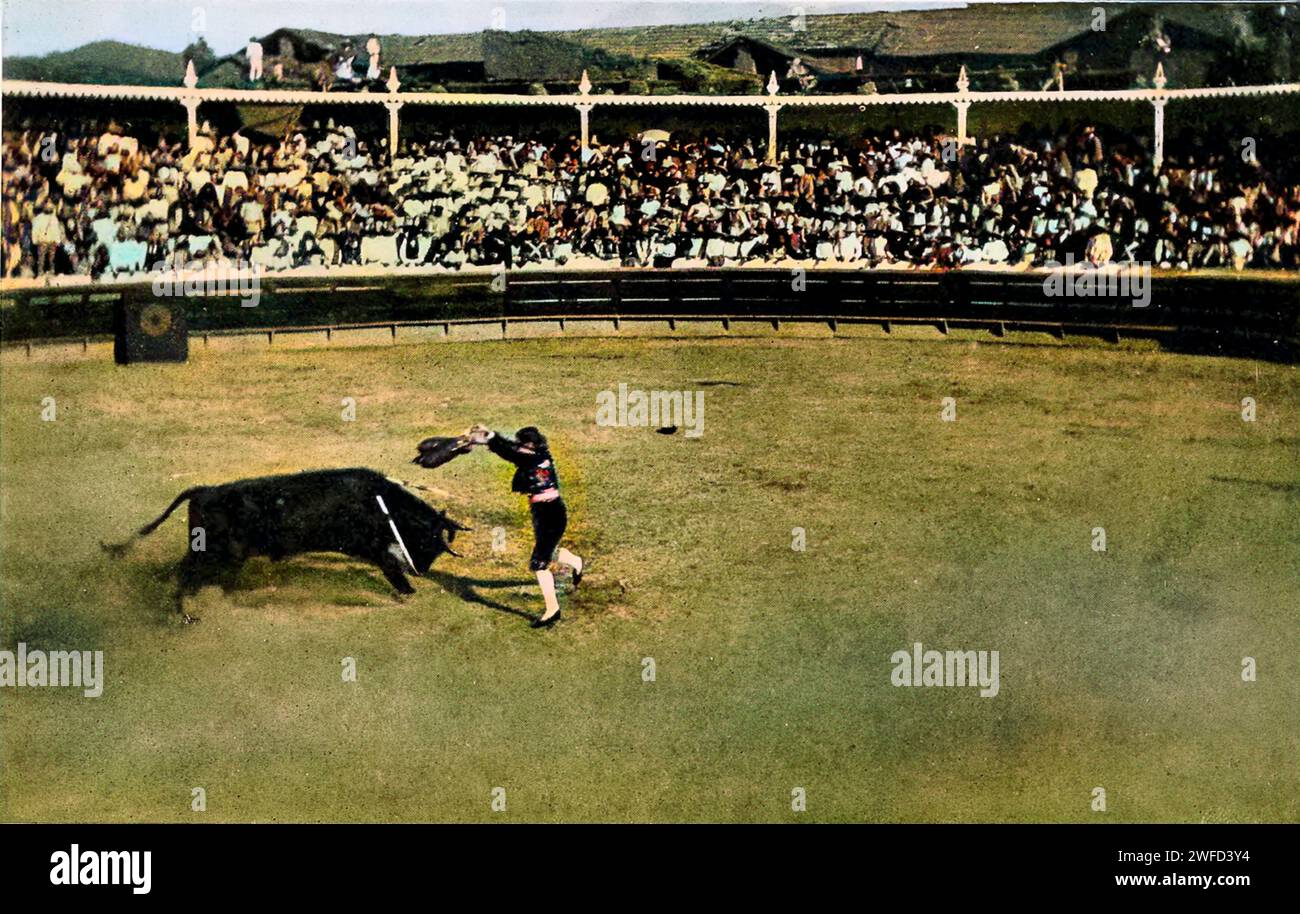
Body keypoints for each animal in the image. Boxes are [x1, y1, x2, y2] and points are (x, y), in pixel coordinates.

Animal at [111, 473, 467, 621]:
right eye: (429, 540)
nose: (421, 571)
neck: (382, 503)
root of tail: (204, 490)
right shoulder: (377, 551)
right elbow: (393, 571)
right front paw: (409, 595)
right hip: (214, 553)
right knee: (186, 575)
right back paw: (184, 614)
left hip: (210, 553)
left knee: (179, 571)